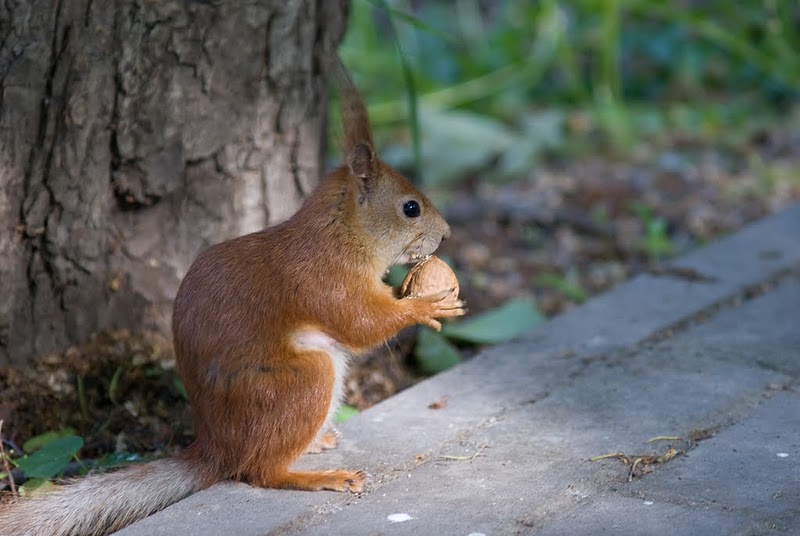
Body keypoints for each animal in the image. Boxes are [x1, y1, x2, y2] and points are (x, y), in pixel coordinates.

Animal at [0, 56, 462, 532]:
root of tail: (215, 447)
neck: (342, 233)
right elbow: (360, 324)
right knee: (260, 471)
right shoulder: (324, 279)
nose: (446, 234)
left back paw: (314, 446)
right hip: (301, 381)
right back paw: (319, 477)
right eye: (410, 208)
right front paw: (426, 305)